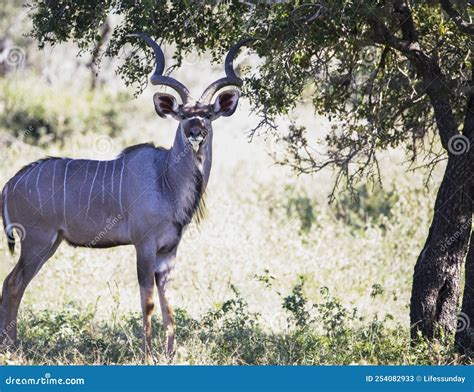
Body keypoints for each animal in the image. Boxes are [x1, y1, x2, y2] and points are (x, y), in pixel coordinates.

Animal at [0, 35, 250, 362]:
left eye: (208, 114)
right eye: (183, 115)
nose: (196, 132)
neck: (166, 179)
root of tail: (10, 184)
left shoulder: (168, 252)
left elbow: (169, 303)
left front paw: (170, 354)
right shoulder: (144, 246)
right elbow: (148, 301)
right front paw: (148, 355)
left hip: (50, 243)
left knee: (11, 283)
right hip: (37, 242)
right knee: (13, 283)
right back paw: (11, 346)